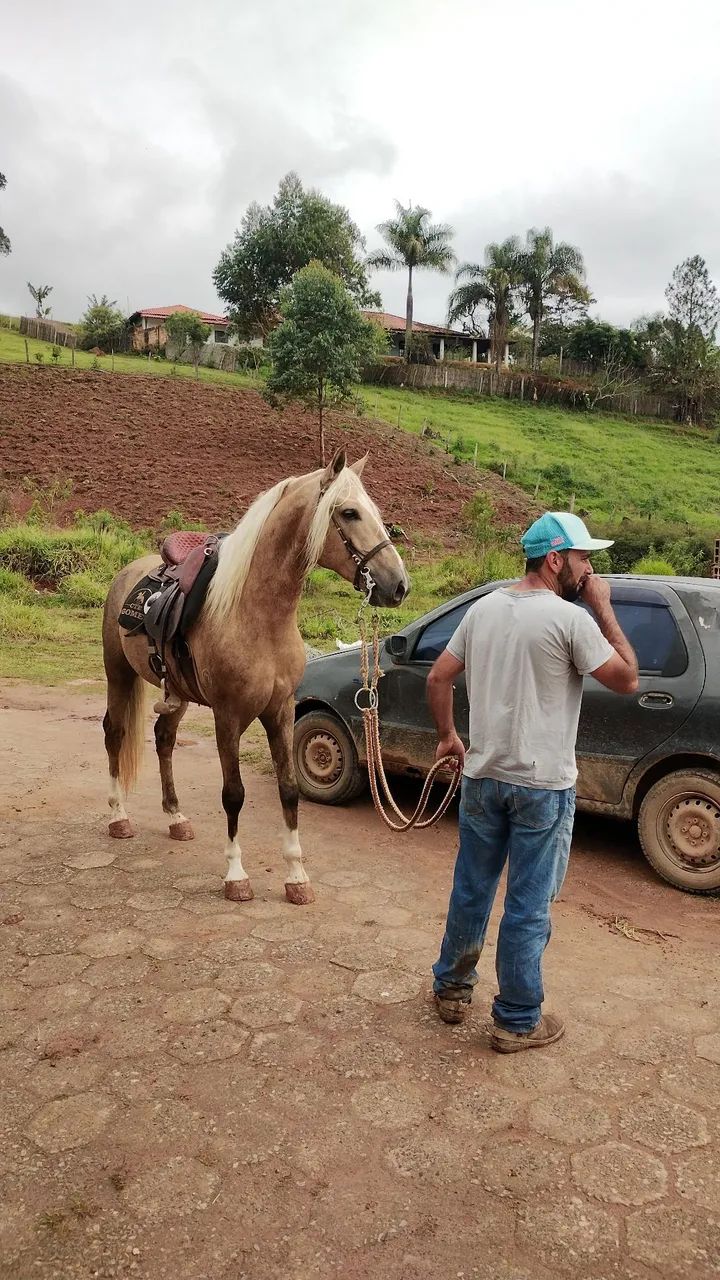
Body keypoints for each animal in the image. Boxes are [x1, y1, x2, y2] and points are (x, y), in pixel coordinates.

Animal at [101, 448, 410, 905]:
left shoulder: (280, 712)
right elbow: (234, 794)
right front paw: (235, 874)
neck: (258, 615)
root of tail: (129, 571)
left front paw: (297, 877)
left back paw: (176, 817)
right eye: (349, 512)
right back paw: (119, 816)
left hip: (177, 695)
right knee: (115, 733)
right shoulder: (228, 717)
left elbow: (289, 790)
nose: (398, 585)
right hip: (118, 674)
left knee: (164, 740)